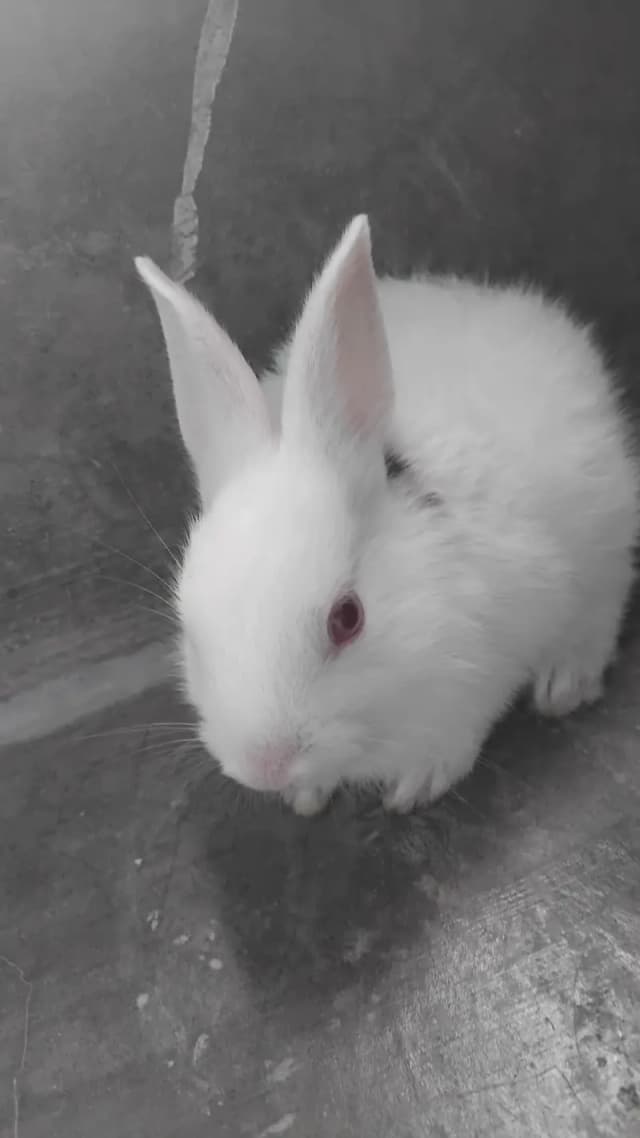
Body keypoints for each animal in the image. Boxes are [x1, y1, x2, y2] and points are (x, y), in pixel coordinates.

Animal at [135, 215, 638, 816]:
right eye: (191, 630)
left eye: (347, 619)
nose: (266, 765)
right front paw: (306, 797)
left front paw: (418, 784)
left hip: (606, 525)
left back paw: (565, 684)